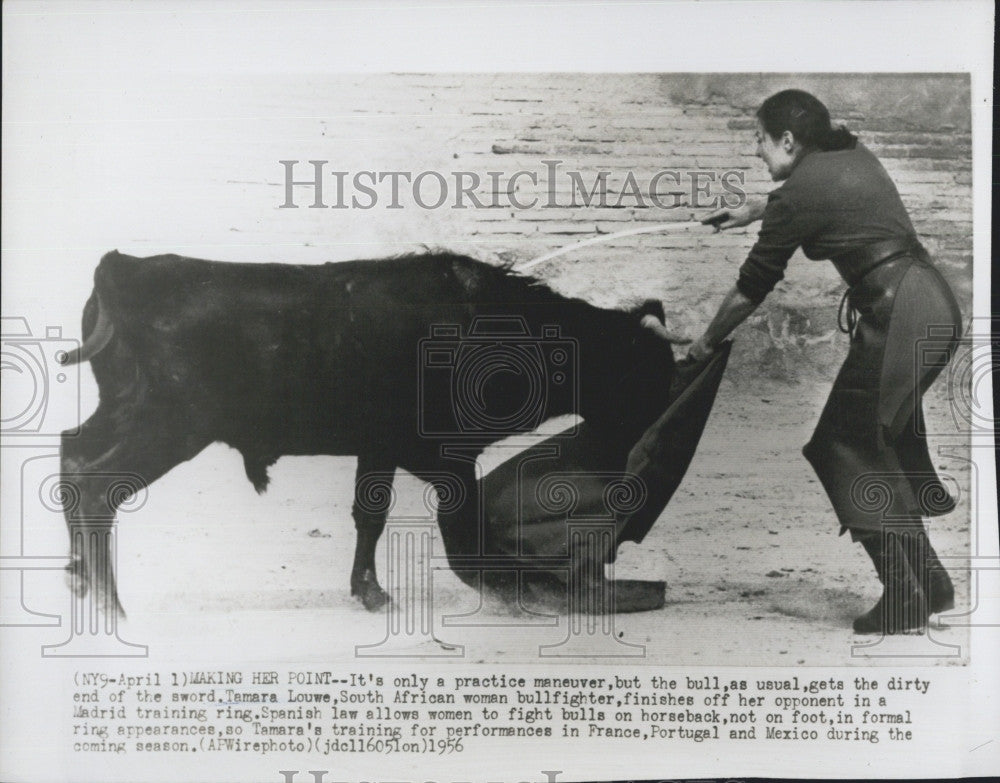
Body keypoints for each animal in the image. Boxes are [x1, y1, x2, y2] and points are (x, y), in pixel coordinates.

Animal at [56, 251, 728, 620]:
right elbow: (464, 531)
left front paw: (371, 592)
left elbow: (369, 516)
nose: (625, 454)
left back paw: (82, 581)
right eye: (640, 376)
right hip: (168, 425)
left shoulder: (378, 448)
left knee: (71, 452)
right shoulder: (442, 456)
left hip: (125, 413)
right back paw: (111, 604)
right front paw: (515, 588)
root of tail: (121, 269)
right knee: (96, 485)